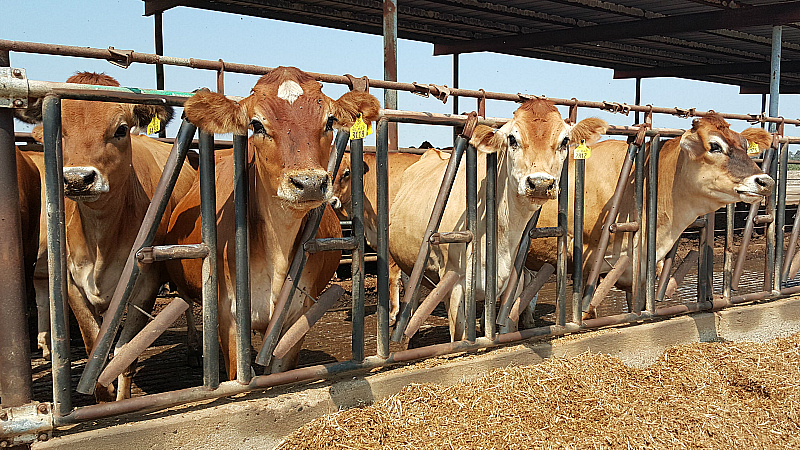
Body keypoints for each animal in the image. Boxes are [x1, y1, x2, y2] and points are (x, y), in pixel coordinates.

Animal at [25, 74, 197, 400]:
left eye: (120, 129)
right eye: (60, 132)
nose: (78, 179)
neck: (100, 238)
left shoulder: (145, 284)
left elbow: (123, 354)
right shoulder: (72, 286)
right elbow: (95, 348)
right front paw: (102, 398)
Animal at [390, 100, 608, 340]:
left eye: (565, 141)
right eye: (512, 139)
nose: (540, 183)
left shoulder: (515, 282)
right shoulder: (453, 285)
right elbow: (460, 335)